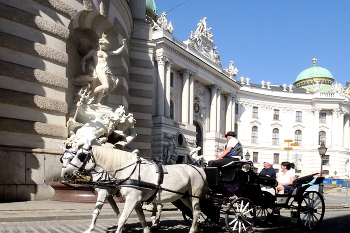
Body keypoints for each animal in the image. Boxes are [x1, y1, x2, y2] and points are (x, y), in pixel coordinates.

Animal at [62, 146, 208, 233]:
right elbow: (140, 217)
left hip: (194, 195)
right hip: (184, 196)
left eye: (80, 156)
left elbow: (121, 218)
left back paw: (192, 229)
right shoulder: (135, 199)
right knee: (196, 211)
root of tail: (199, 168)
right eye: (63, 159)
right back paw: (197, 227)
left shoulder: (129, 198)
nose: (65, 174)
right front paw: (147, 229)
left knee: (195, 212)